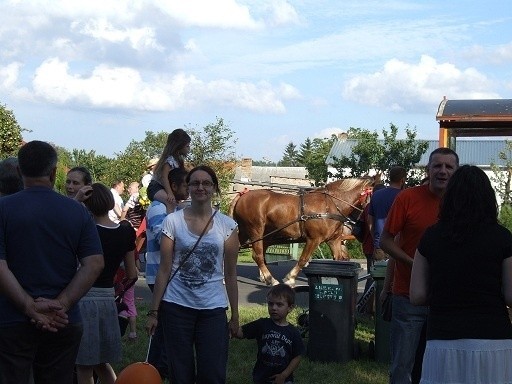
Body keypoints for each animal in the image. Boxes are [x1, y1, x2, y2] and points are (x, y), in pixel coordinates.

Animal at [228, 178, 372, 286]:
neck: (330, 205)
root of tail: (242, 196)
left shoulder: (334, 240)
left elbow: (339, 259)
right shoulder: (314, 239)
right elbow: (303, 259)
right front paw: (290, 278)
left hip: (246, 231)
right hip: (255, 230)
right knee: (257, 256)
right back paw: (270, 279)